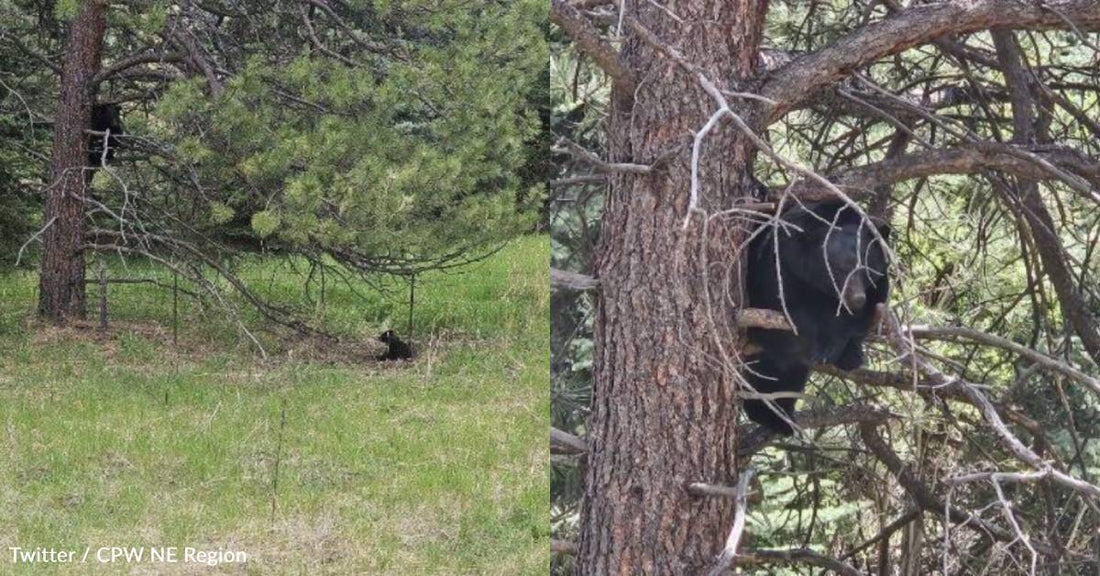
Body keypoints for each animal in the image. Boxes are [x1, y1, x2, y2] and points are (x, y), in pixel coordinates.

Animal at [742, 201, 890, 434]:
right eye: (838, 269)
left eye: (865, 268)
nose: (857, 299)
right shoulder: (779, 265)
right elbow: (783, 310)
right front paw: (816, 342)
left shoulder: (877, 284)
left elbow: (862, 317)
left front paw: (841, 349)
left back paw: (778, 416)